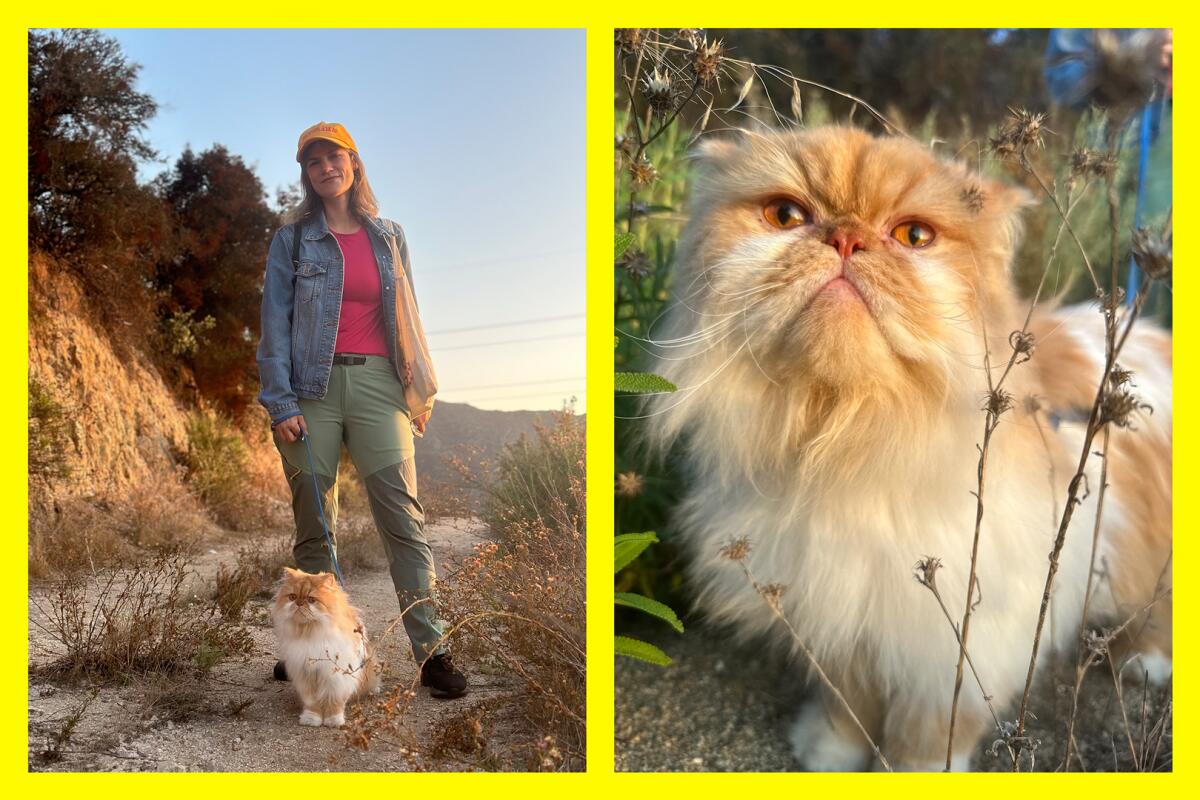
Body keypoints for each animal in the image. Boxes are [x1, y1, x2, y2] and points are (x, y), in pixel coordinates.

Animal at [274, 566, 381, 729]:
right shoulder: (306, 677)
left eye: (311, 600)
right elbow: (312, 704)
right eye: (292, 597)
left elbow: (334, 701)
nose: (299, 603)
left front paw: (333, 720)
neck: (311, 633)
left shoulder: (336, 678)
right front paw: (312, 719)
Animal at [648, 128, 1171, 772]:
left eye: (913, 237)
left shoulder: (960, 641)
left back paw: (1146, 664)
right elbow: (849, 701)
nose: (845, 237)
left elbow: (929, 727)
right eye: (787, 216)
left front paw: (912, 770)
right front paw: (832, 752)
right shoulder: (846, 613)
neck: (848, 441)